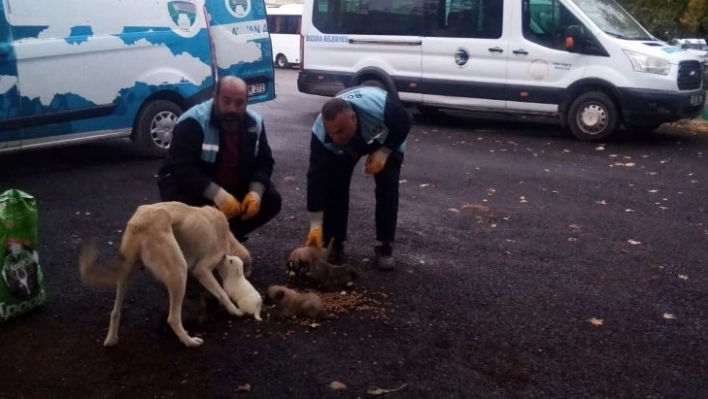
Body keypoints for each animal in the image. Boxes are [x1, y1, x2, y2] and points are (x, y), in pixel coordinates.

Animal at [79, 202, 250, 348]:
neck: (228, 238)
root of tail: (139, 223)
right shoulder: (202, 270)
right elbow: (222, 293)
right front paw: (234, 310)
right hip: (179, 270)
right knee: (173, 318)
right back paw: (188, 341)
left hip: (126, 273)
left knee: (115, 312)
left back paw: (111, 339)